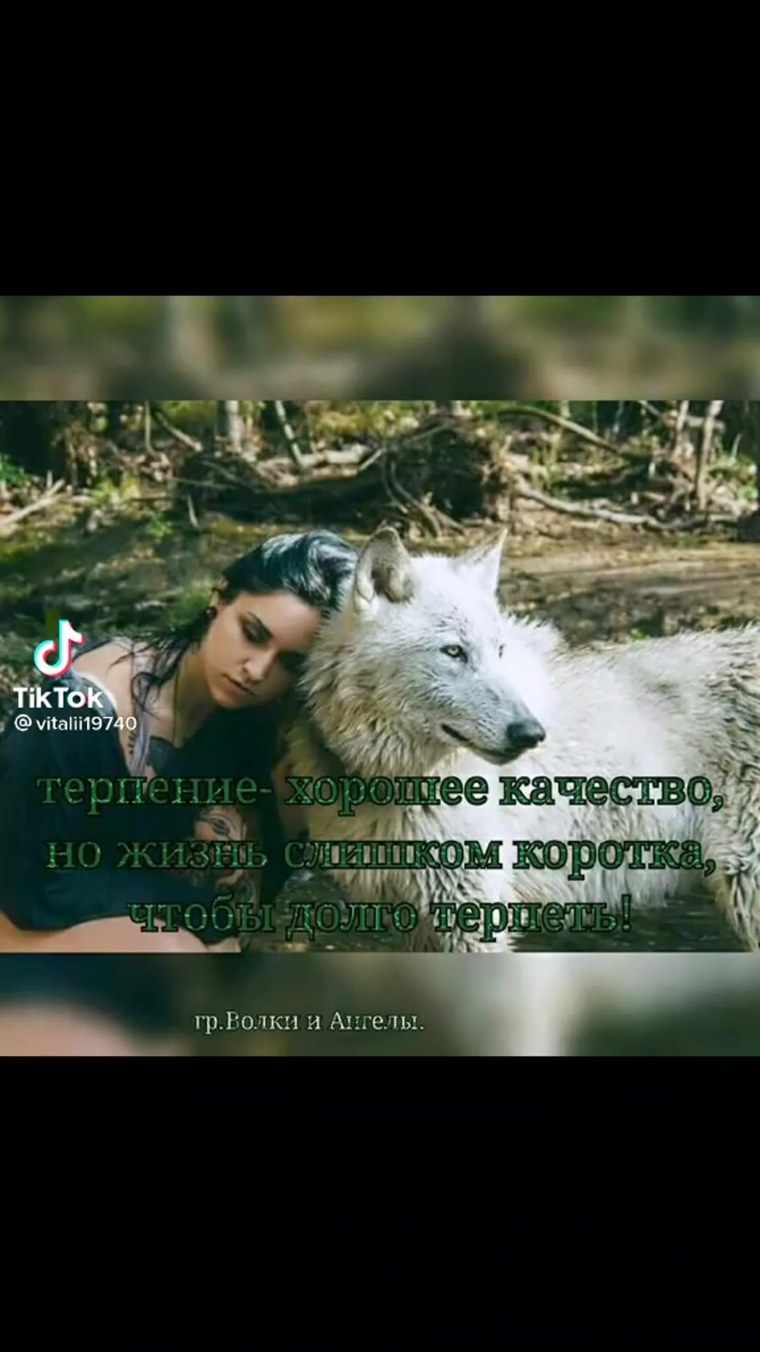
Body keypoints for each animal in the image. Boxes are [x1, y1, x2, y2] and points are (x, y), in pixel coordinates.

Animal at [286, 526, 760, 953]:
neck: (393, 781)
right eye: (453, 652)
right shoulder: (414, 918)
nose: (531, 733)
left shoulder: (471, 909)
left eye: (499, 651)